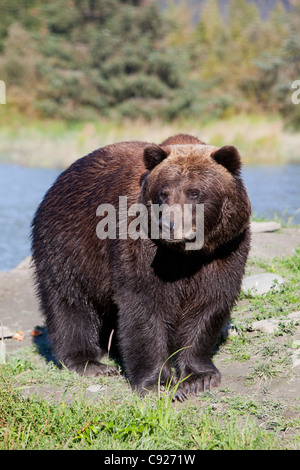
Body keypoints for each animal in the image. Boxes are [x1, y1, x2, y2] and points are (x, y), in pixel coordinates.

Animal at [31, 135, 251, 400]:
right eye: (164, 193)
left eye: (194, 192)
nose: (168, 224)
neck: (186, 254)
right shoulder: (140, 246)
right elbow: (143, 305)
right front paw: (157, 382)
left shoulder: (225, 250)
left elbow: (209, 304)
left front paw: (199, 378)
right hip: (67, 245)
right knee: (70, 302)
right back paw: (89, 362)